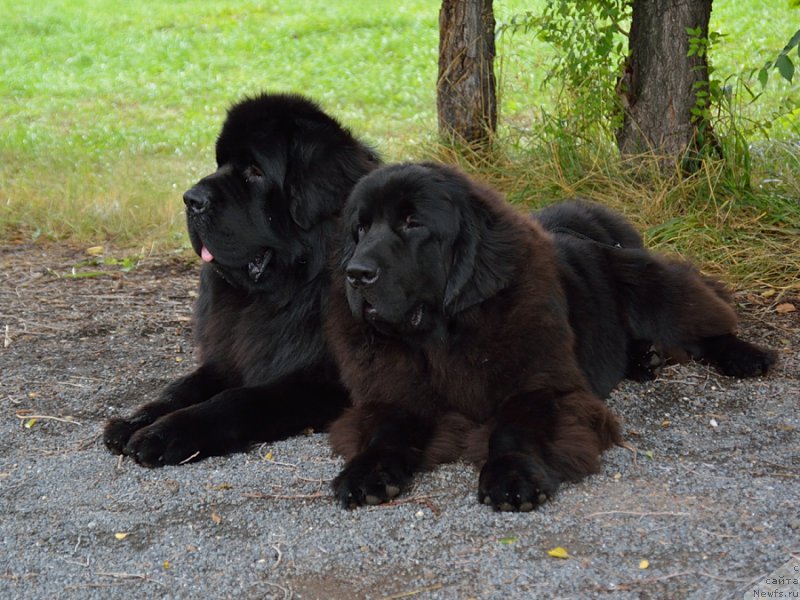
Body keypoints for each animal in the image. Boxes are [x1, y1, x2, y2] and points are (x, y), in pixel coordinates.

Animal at [104, 95, 380, 468]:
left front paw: (163, 434)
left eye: (255, 171)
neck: (295, 291)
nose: (190, 199)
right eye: (220, 163)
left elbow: (236, 399)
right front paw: (135, 420)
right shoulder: (231, 356)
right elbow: (181, 388)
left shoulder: (324, 382)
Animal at [326, 163, 776, 510]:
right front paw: (367, 472)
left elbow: (516, 425)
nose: (357, 273)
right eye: (360, 229)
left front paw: (511, 476)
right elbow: (387, 430)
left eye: (412, 222)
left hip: (651, 285)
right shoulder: (397, 393)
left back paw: (744, 355)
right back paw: (643, 359)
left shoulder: (543, 386)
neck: (444, 340)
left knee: (706, 315)